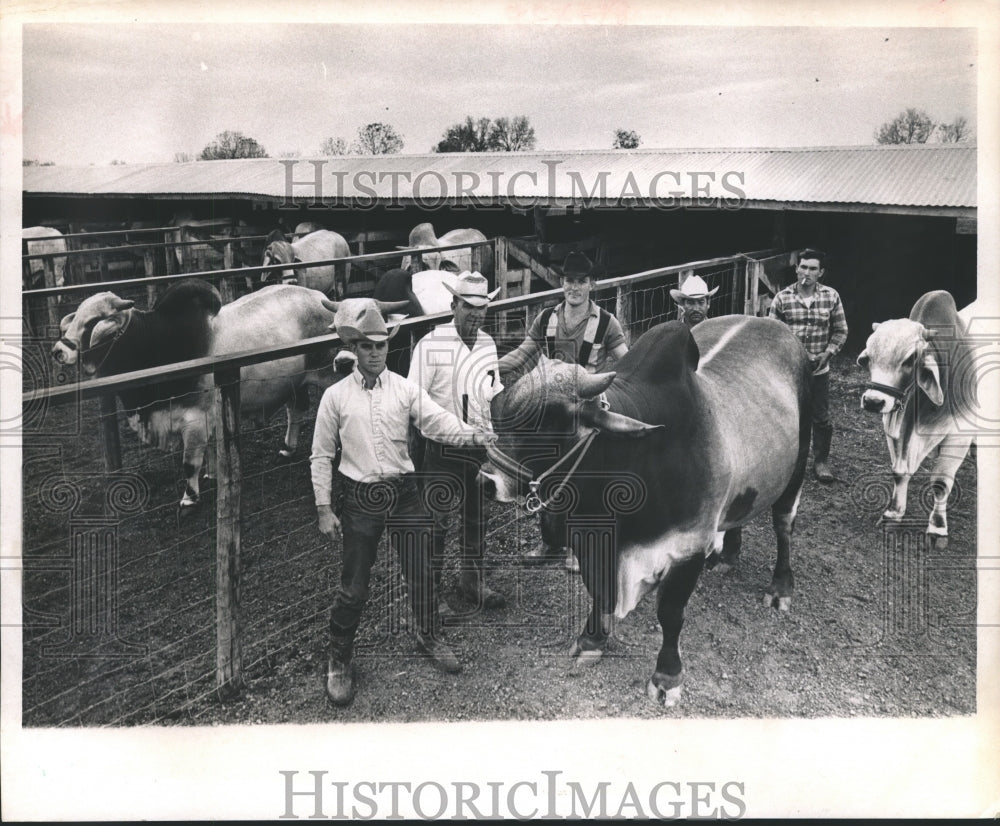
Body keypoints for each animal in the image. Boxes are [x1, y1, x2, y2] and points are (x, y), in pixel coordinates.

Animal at [49, 282, 402, 502]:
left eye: (93, 322)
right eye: (76, 319)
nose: (58, 351)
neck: (160, 344)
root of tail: (325, 301)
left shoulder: (194, 418)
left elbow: (189, 462)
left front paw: (189, 497)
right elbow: (209, 455)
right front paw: (211, 476)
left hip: (327, 375)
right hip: (294, 380)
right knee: (295, 409)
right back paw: (288, 447)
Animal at [478, 318, 812, 704]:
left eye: (550, 423)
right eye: (498, 409)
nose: (487, 481)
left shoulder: (688, 549)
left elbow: (671, 614)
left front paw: (667, 676)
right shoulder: (592, 543)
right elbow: (601, 592)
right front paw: (591, 640)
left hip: (798, 464)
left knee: (783, 524)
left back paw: (781, 587)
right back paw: (727, 557)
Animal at [856, 290, 980, 548]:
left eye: (910, 358)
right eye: (869, 358)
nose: (873, 401)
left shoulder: (959, 433)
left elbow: (941, 482)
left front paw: (937, 528)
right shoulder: (895, 425)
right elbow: (899, 471)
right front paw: (893, 514)